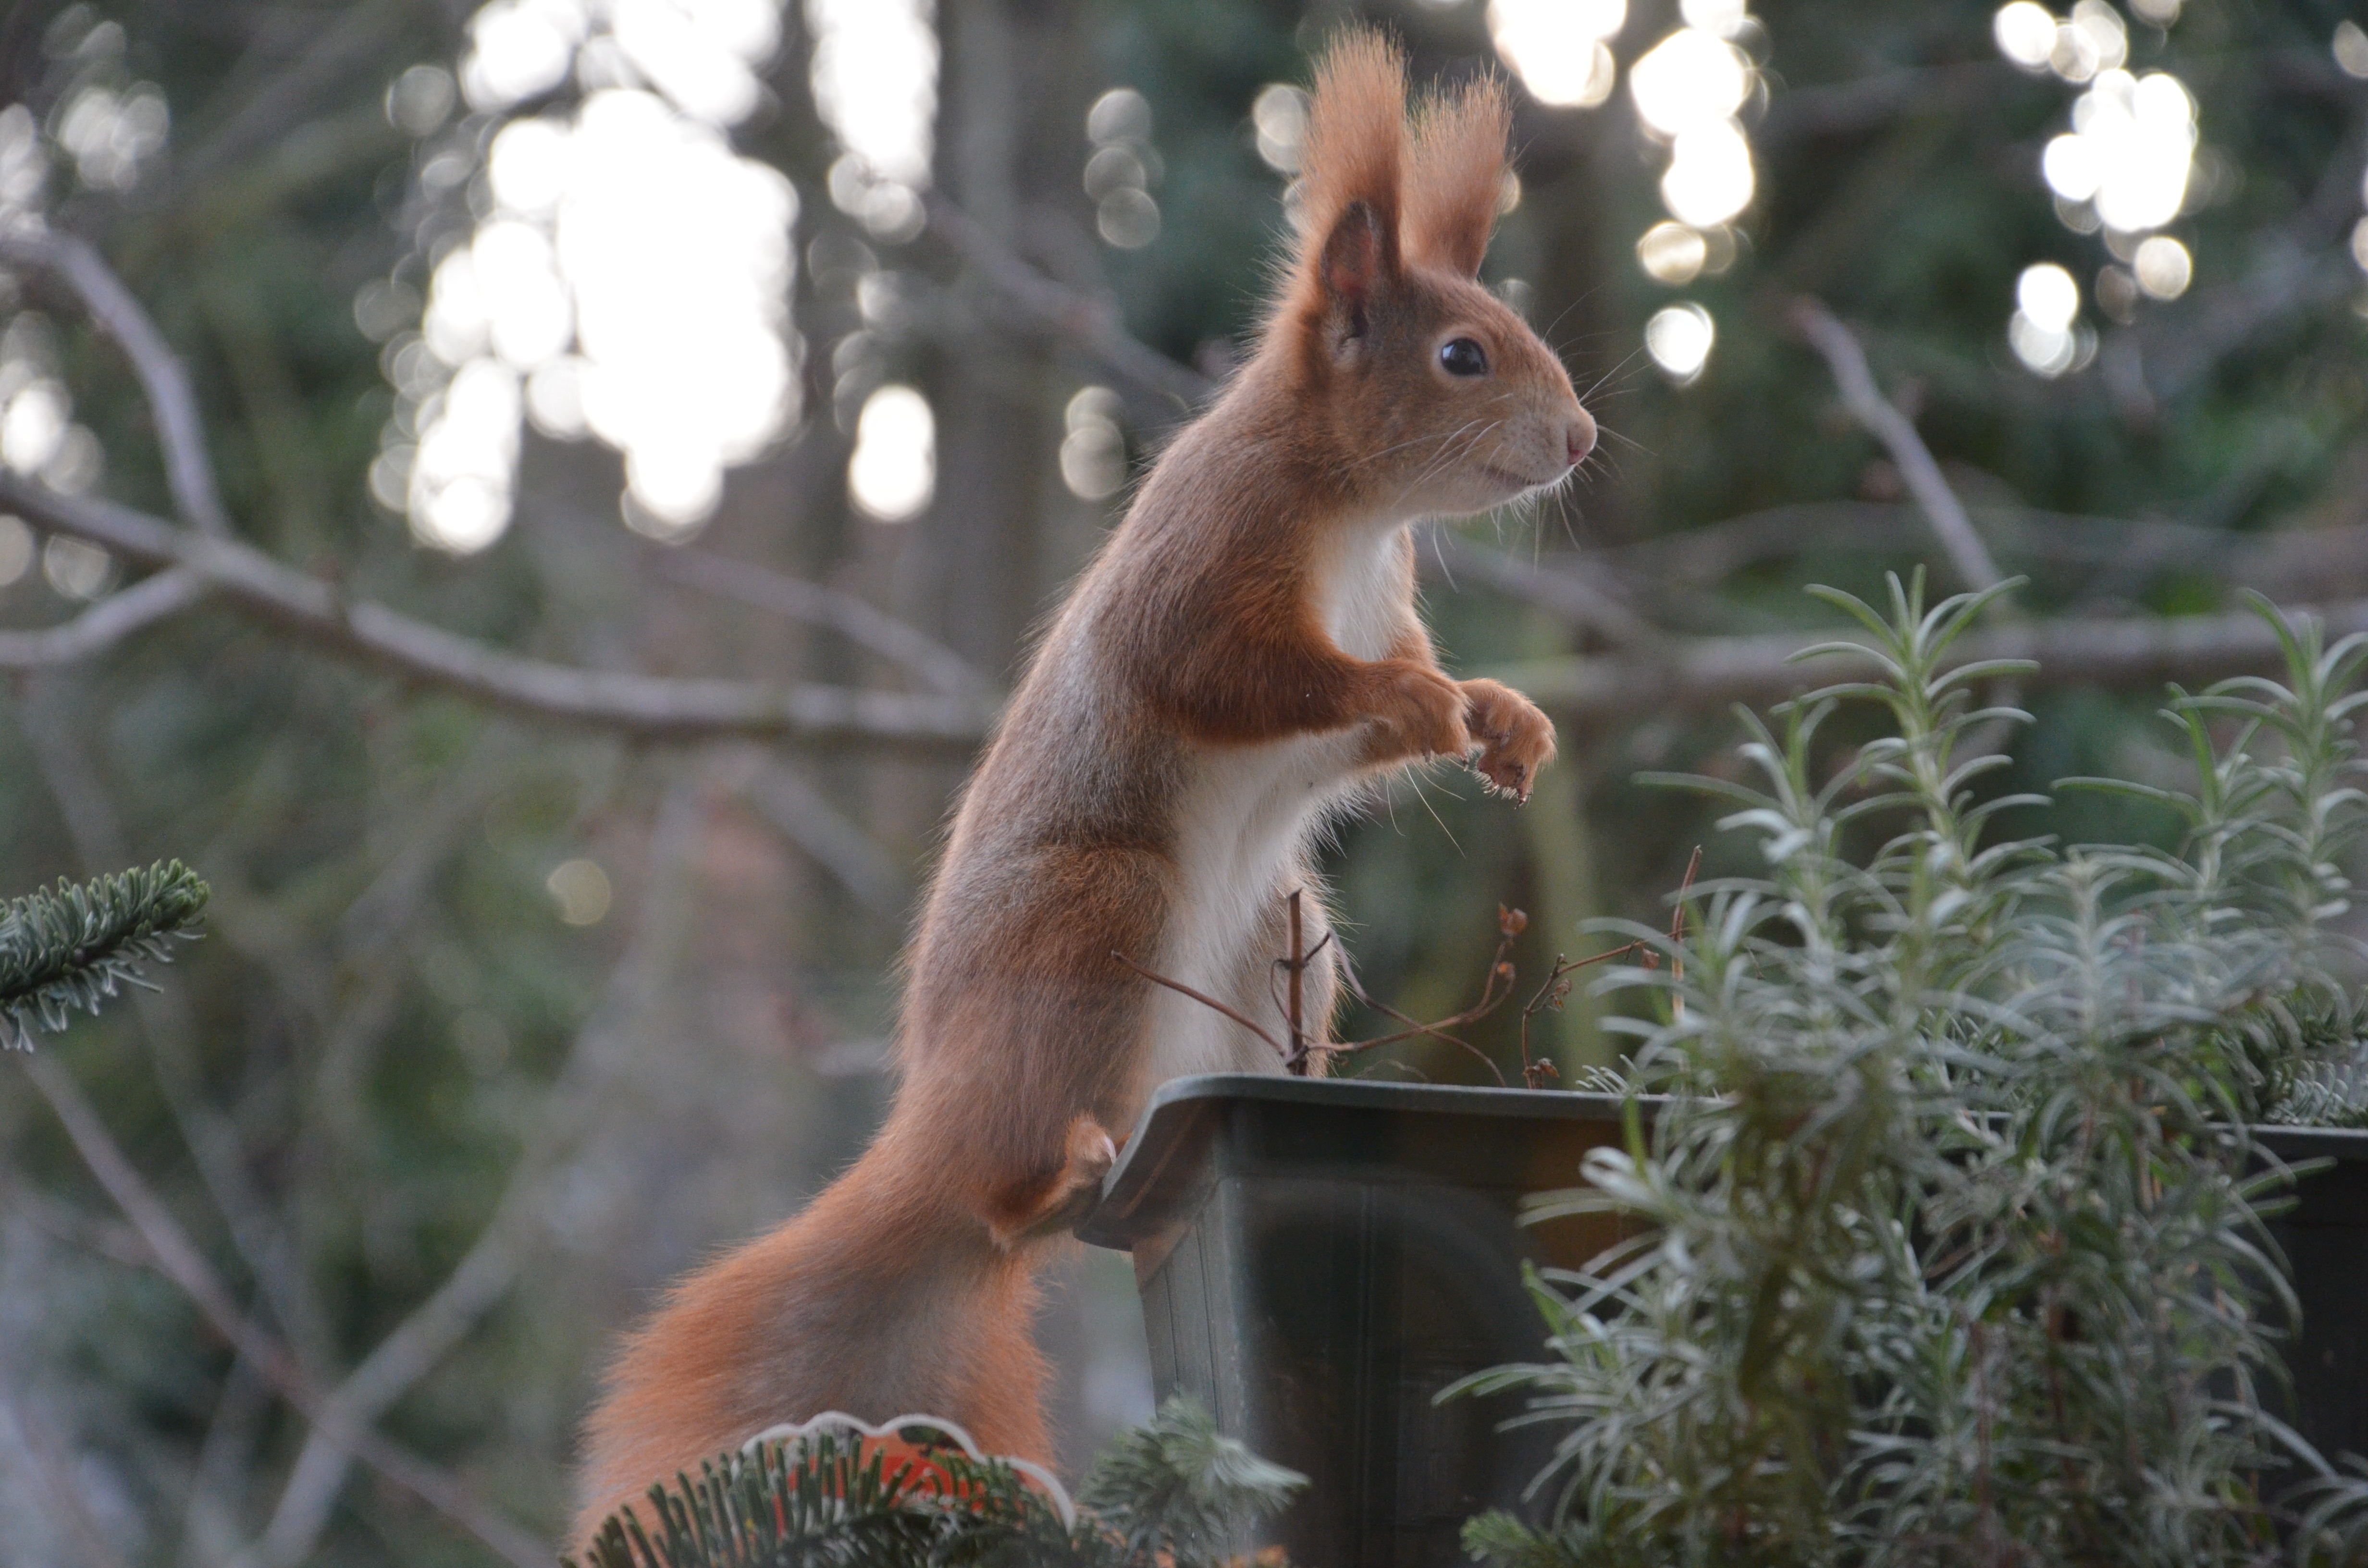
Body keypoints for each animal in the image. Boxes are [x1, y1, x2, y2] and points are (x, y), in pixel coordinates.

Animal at [578, 31, 1591, 1544]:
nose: (1580, 438)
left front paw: (1503, 722)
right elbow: (1243, 677)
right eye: (1464, 356)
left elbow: (1383, 714)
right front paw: (1414, 702)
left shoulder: (1386, 604)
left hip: (1283, 936)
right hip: (1099, 915)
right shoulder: (1206, 566)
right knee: (1009, 1203)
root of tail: (931, 1134)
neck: (1359, 515)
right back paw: (1049, 1177)